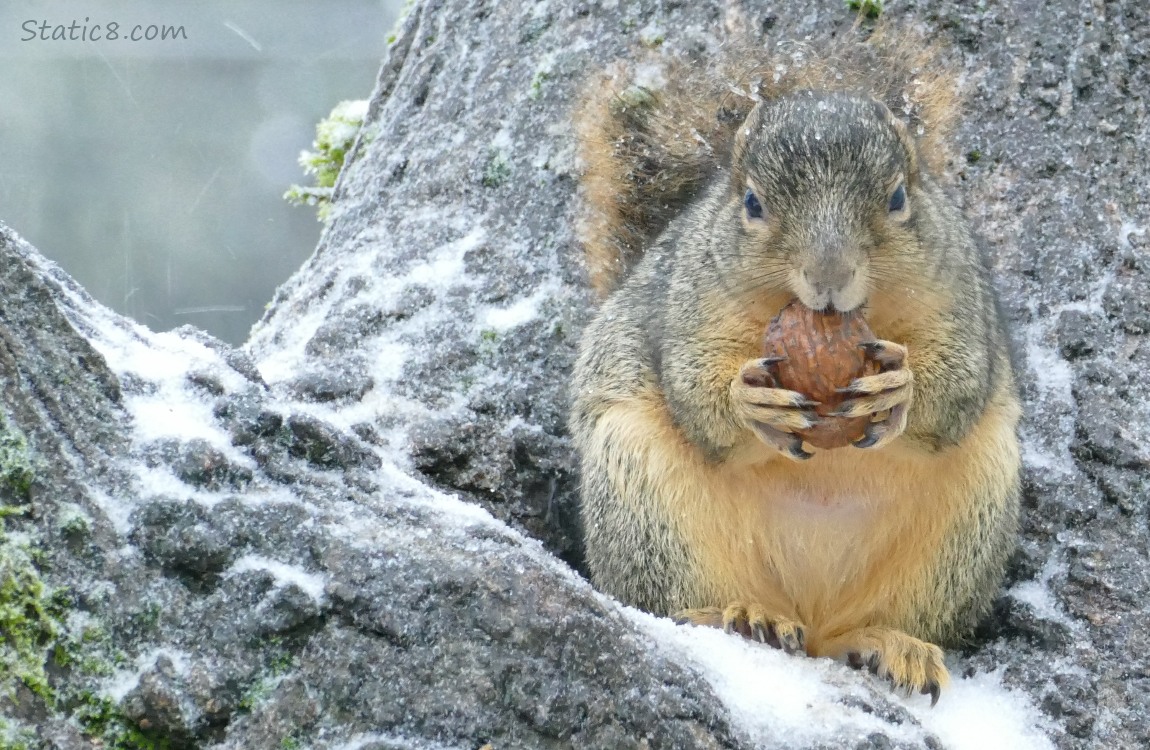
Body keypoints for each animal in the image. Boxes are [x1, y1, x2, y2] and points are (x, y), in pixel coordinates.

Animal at [570, 24, 1021, 703]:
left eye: (898, 198)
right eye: (752, 205)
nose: (828, 277)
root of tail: (807, 618)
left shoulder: (960, 298)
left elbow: (960, 385)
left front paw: (902, 388)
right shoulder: (689, 302)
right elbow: (694, 390)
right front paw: (747, 401)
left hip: (967, 524)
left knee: (861, 629)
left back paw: (885, 644)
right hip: (646, 499)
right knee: (669, 602)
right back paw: (739, 617)